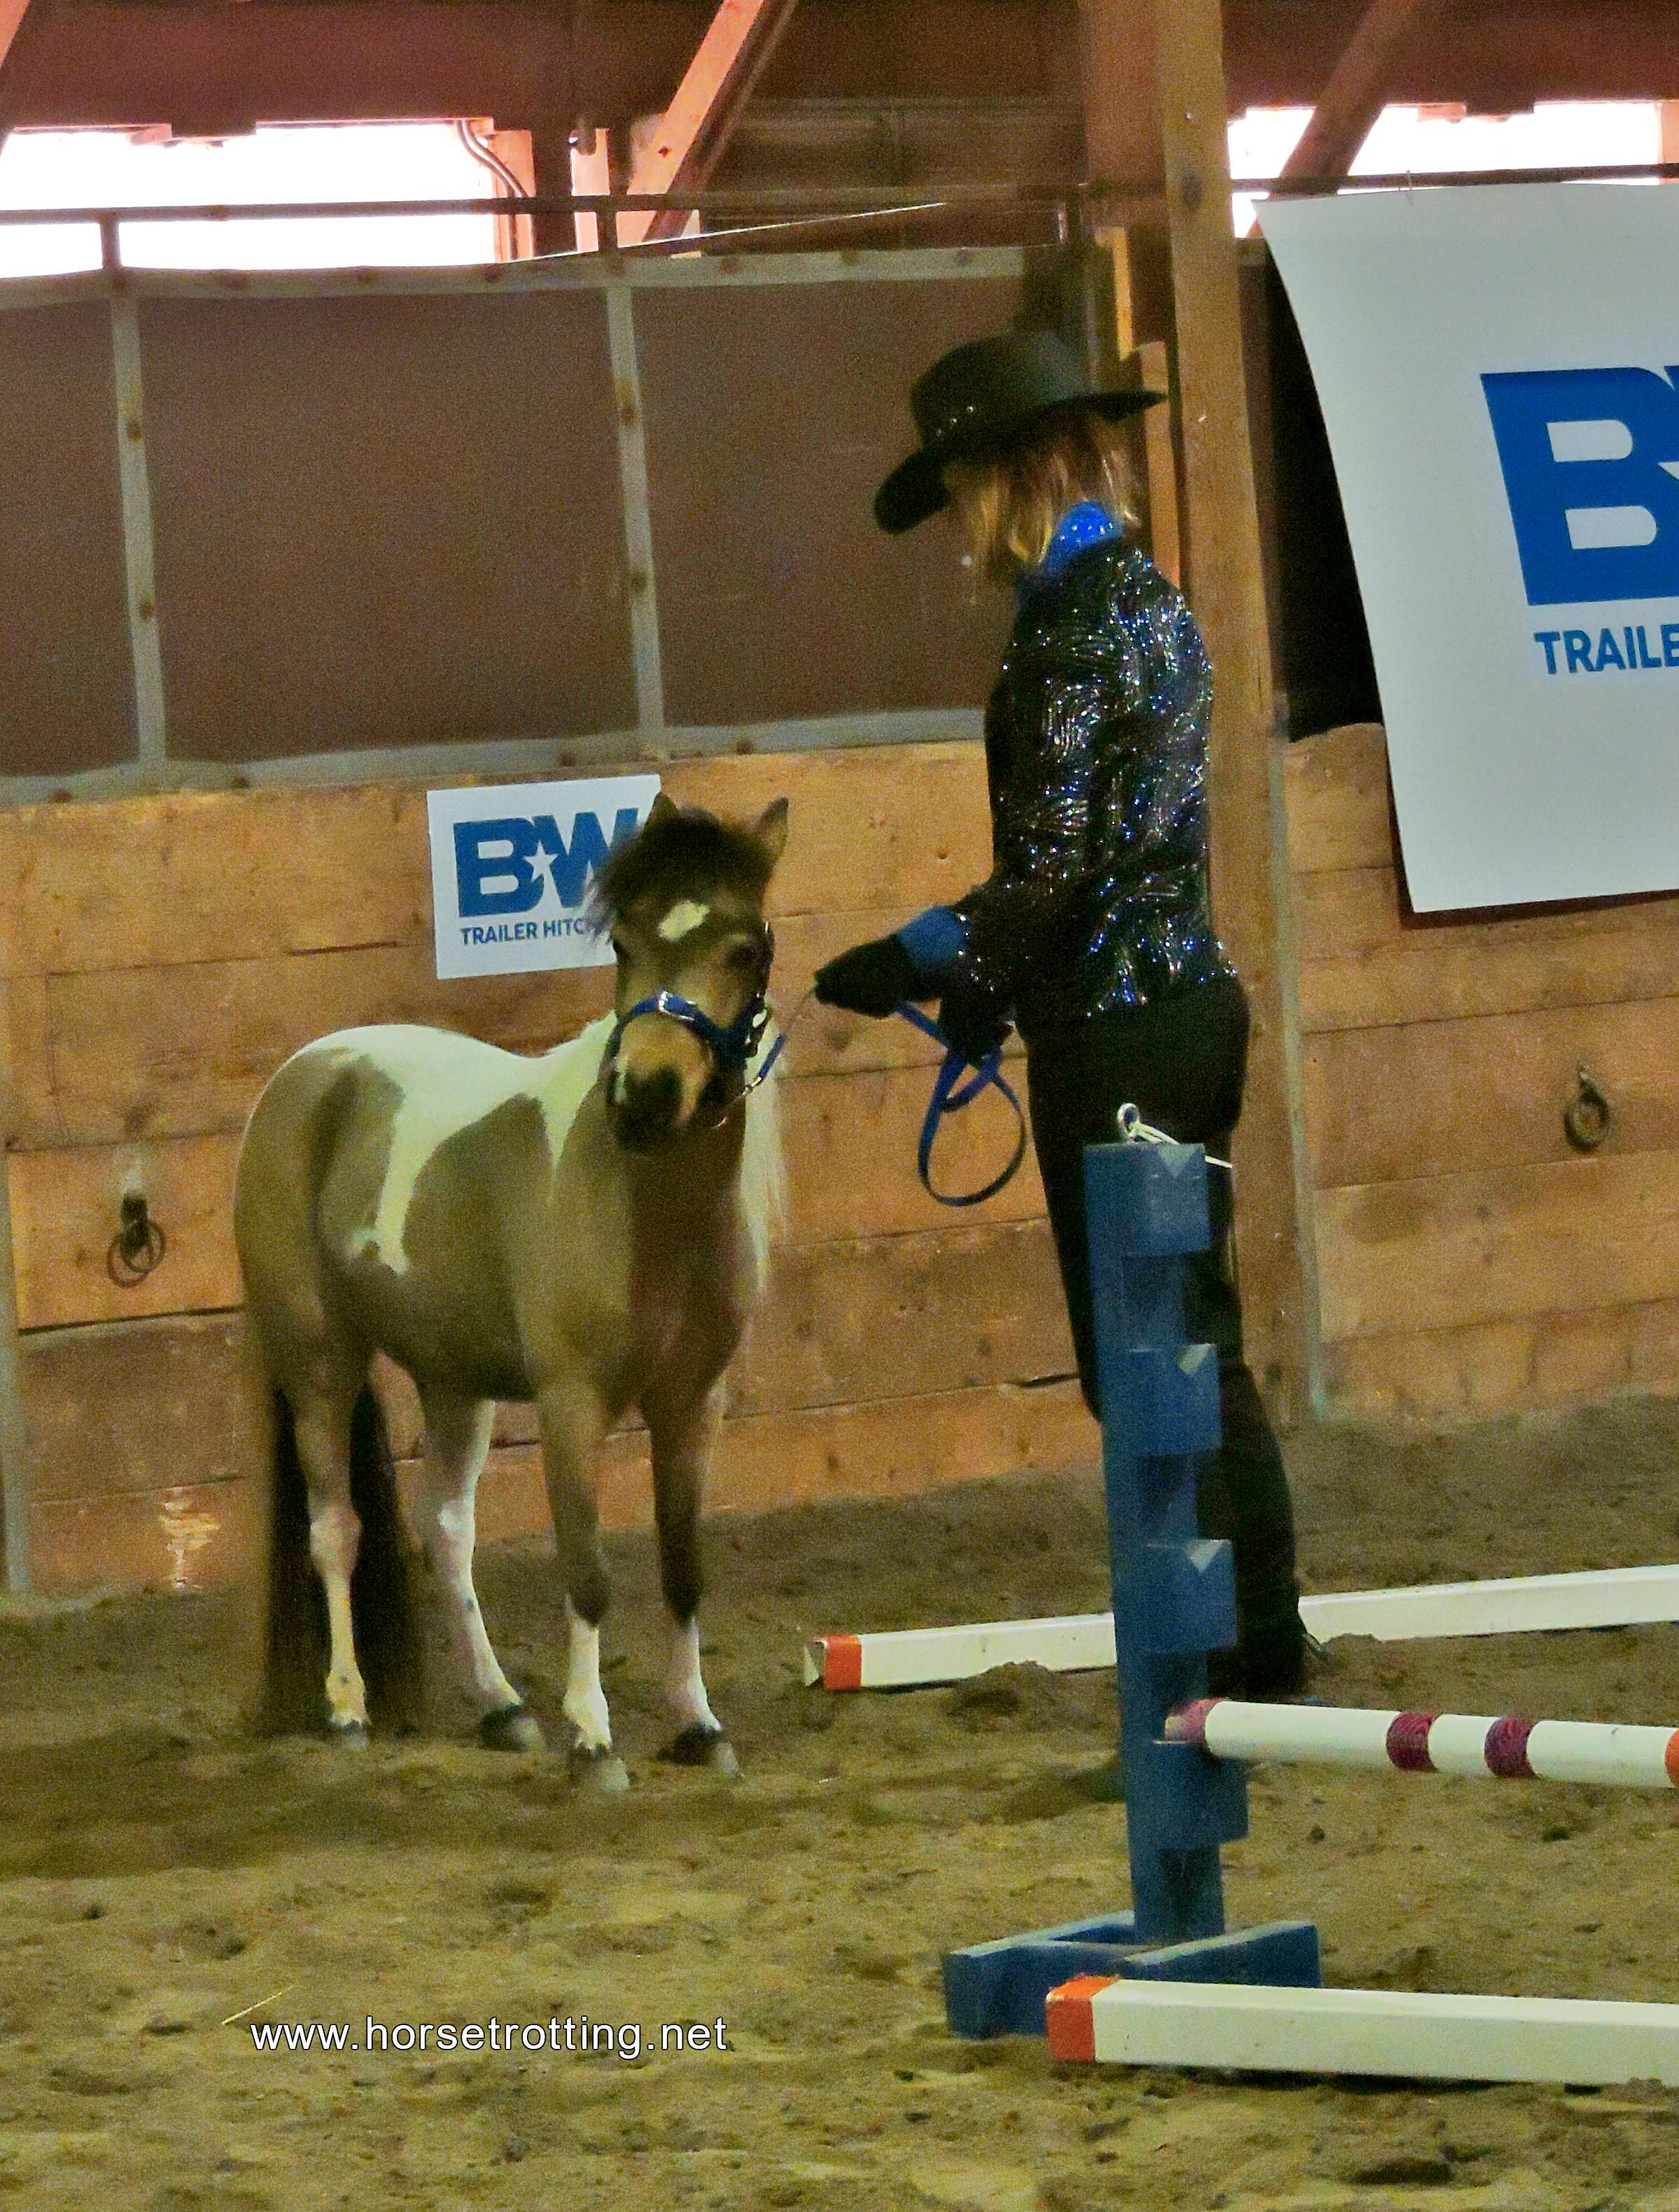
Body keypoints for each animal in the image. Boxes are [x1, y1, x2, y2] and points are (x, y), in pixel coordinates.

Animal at [234, 791, 788, 1790]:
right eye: (623, 942)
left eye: (743, 948)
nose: (646, 1092)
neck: (643, 1200)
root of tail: (305, 1075)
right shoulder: (573, 1404)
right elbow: (587, 1574)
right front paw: (594, 1739)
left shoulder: (695, 1403)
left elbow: (682, 1567)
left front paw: (698, 1726)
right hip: (319, 1361)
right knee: (336, 1529)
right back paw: (346, 1709)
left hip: (455, 1383)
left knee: (446, 1533)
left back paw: (500, 1707)